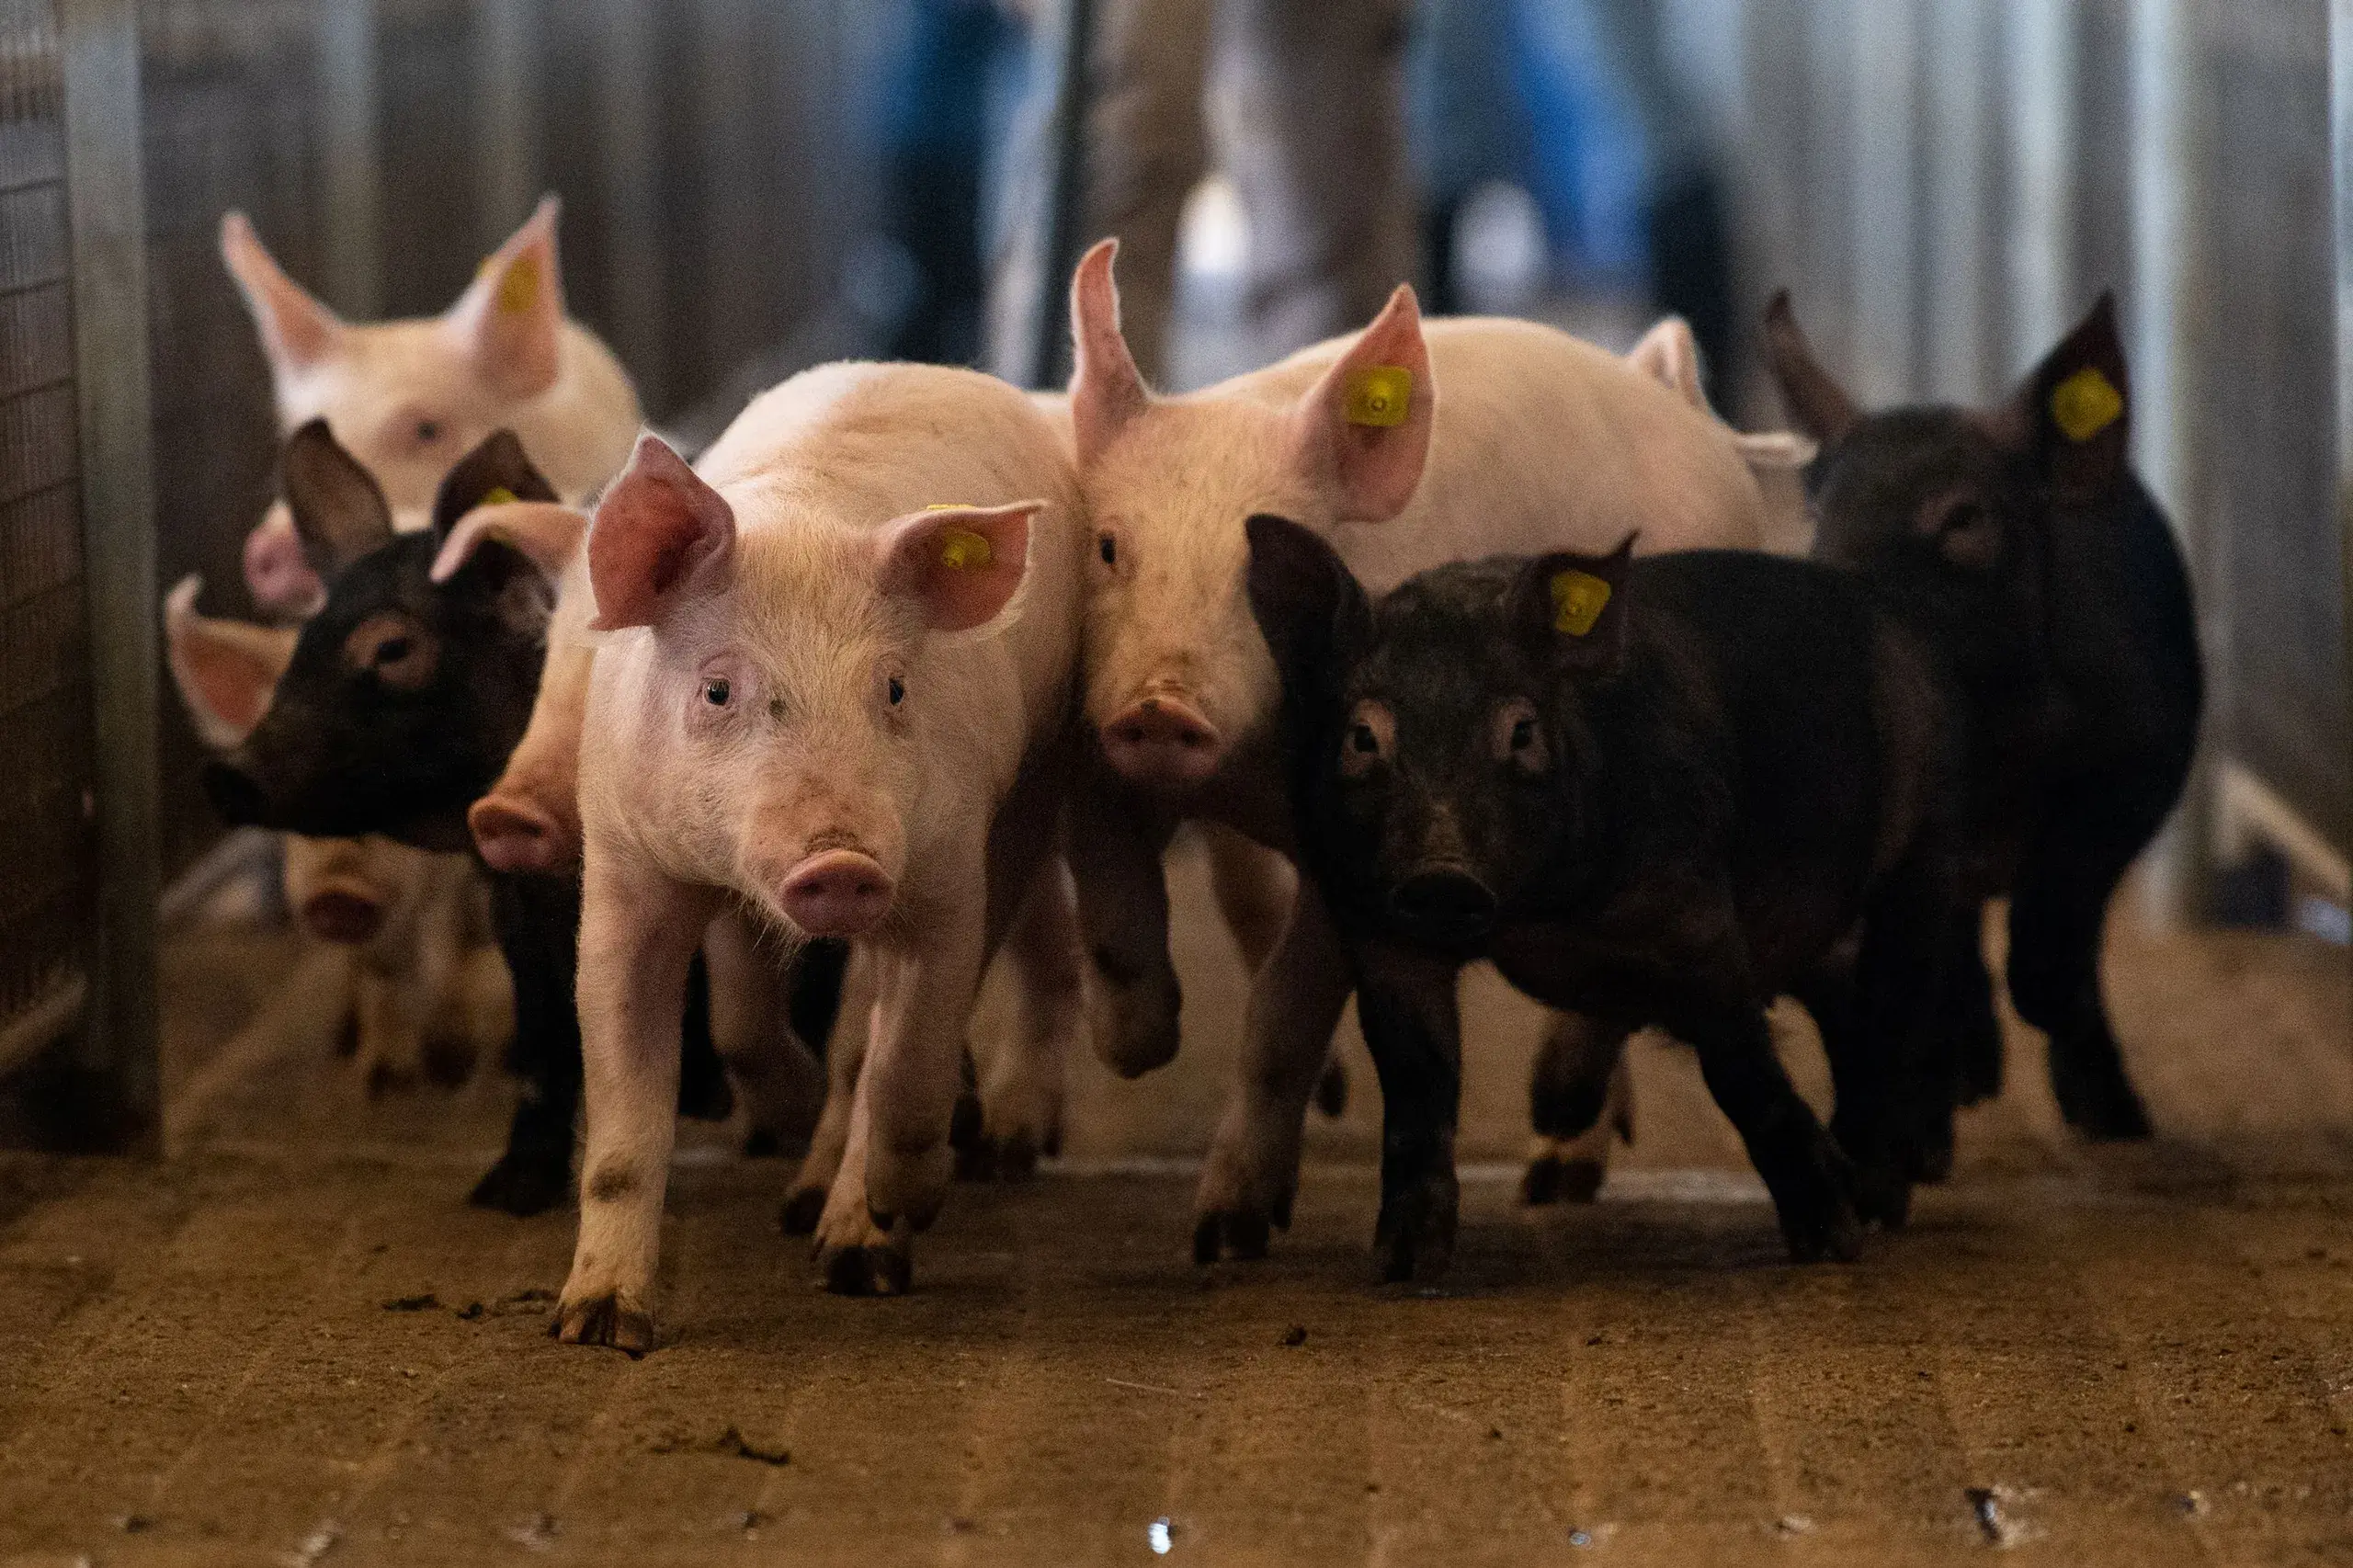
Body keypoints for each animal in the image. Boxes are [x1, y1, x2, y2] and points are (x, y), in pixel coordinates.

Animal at [184, 423, 803, 1213]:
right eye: (302, 644)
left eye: (393, 648)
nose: (227, 771)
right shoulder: (517, 887)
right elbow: (544, 1023)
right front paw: (507, 1191)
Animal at [556, 360, 1084, 1347]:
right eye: (718, 690)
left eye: (896, 688)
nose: (842, 864)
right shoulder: (624, 866)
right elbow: (628, 1113)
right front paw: (601, 1326)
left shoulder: (947, 871)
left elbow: (906, 1059)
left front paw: (900, 1208)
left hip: (1037, 780)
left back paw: (856, 1250)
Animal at [1060, 240, 1776, 1259]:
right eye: (1111, 547)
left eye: (1259, 572)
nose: (1163, 706)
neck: (1244, 781)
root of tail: (1682, 410)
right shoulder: (1099, 752)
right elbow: (1116, 906)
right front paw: (1141, 1044)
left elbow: (1282, 1014)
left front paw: (1224, 1235)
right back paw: (1556, 1170)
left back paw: (1551, 1133)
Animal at [1246, 521, 1965, 1277]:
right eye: (1363, 737)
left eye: (1522, 731)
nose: (1442, 874)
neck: (1541, 914)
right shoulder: (1383, 931)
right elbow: (1418, 1085)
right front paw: (1404, 1268)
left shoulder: (1697, 919)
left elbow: (1742, 1071)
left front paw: (1831, 1245)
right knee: (1847, 1009)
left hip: (1931, 845)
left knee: (1899, 1013)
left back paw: (1879, 1203)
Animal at [1762, 292, 2202, 1151]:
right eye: (1820, 514)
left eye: (1963, 519)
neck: (2001, 743)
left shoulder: (2146, 755)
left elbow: (2063, 915)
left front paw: (2106, 1112)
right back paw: (1970, 1079)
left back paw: (2111, 1119)